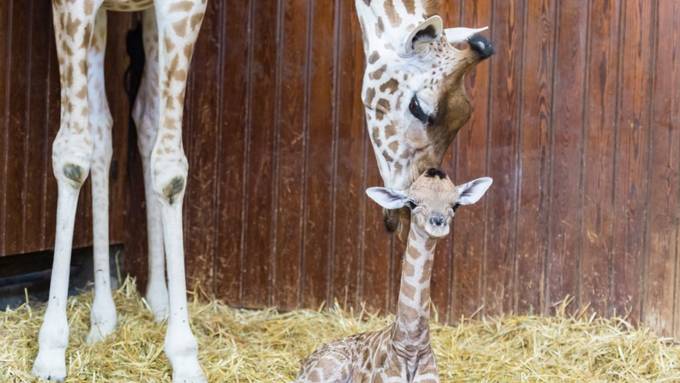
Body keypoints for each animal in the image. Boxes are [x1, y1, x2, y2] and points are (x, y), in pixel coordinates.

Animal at [32, 0, 207, 383]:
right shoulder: (71, 7)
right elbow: (71, 157)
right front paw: (50, 351)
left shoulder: (184, 9)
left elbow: (170, 171)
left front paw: (185, 356)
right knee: (98, 130)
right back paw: (102, 318)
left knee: (140, 120)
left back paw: (155, 302)